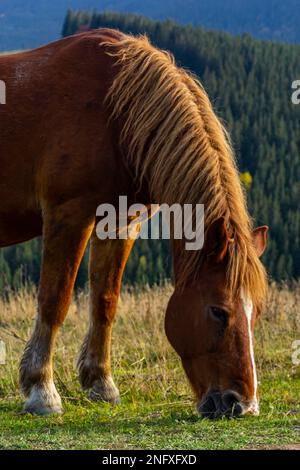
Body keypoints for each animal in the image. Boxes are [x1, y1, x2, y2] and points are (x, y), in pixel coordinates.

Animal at [0, 30, 268, 418]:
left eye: (256, 312)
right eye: (218, 311)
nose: (242, 404)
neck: (114, 113)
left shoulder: (121, 223)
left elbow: (105, 302)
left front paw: (100, 384)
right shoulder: (68, 216)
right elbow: (54, 301)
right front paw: (41, 390)